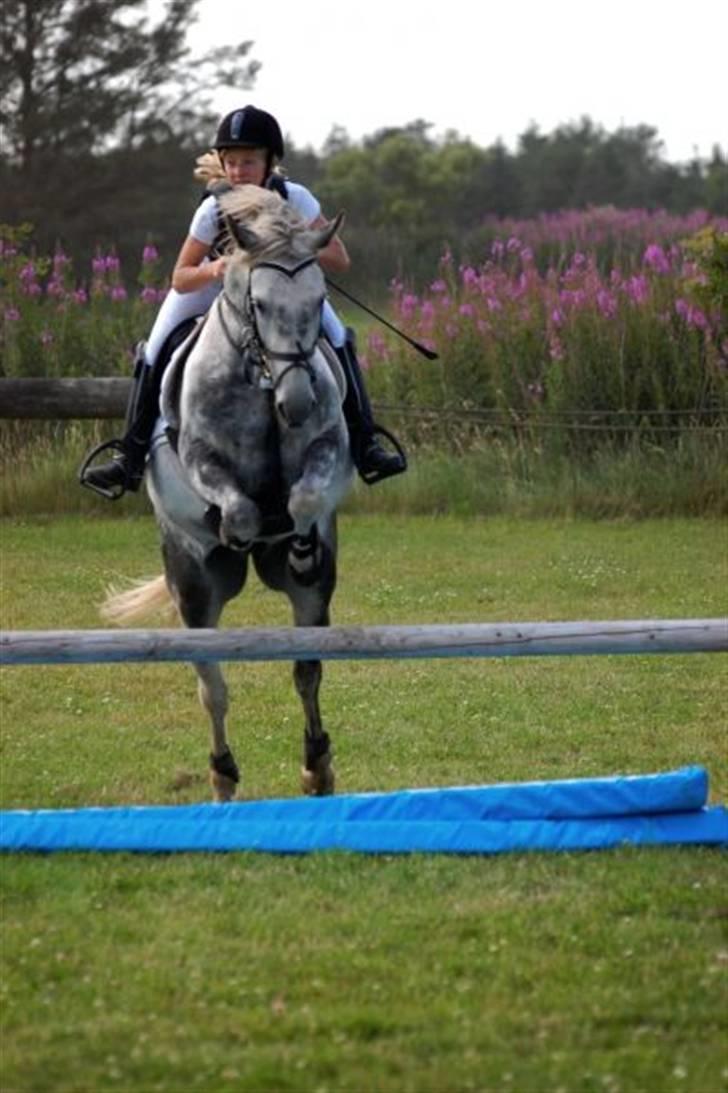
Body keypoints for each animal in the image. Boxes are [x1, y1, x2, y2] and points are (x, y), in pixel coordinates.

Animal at [102, 185, 351, 804]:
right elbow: (235, 507)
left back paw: (317, 767)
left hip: (312, 600)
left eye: (318, 300)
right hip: (192, 588)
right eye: (258, 304)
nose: (298, 403)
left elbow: (306, 498)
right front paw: (237, 530)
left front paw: (298, 544)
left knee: (306, 668)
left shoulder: (328, 447)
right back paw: (222, 775)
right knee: (211, 682)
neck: (262, 378)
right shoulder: (200, 458)